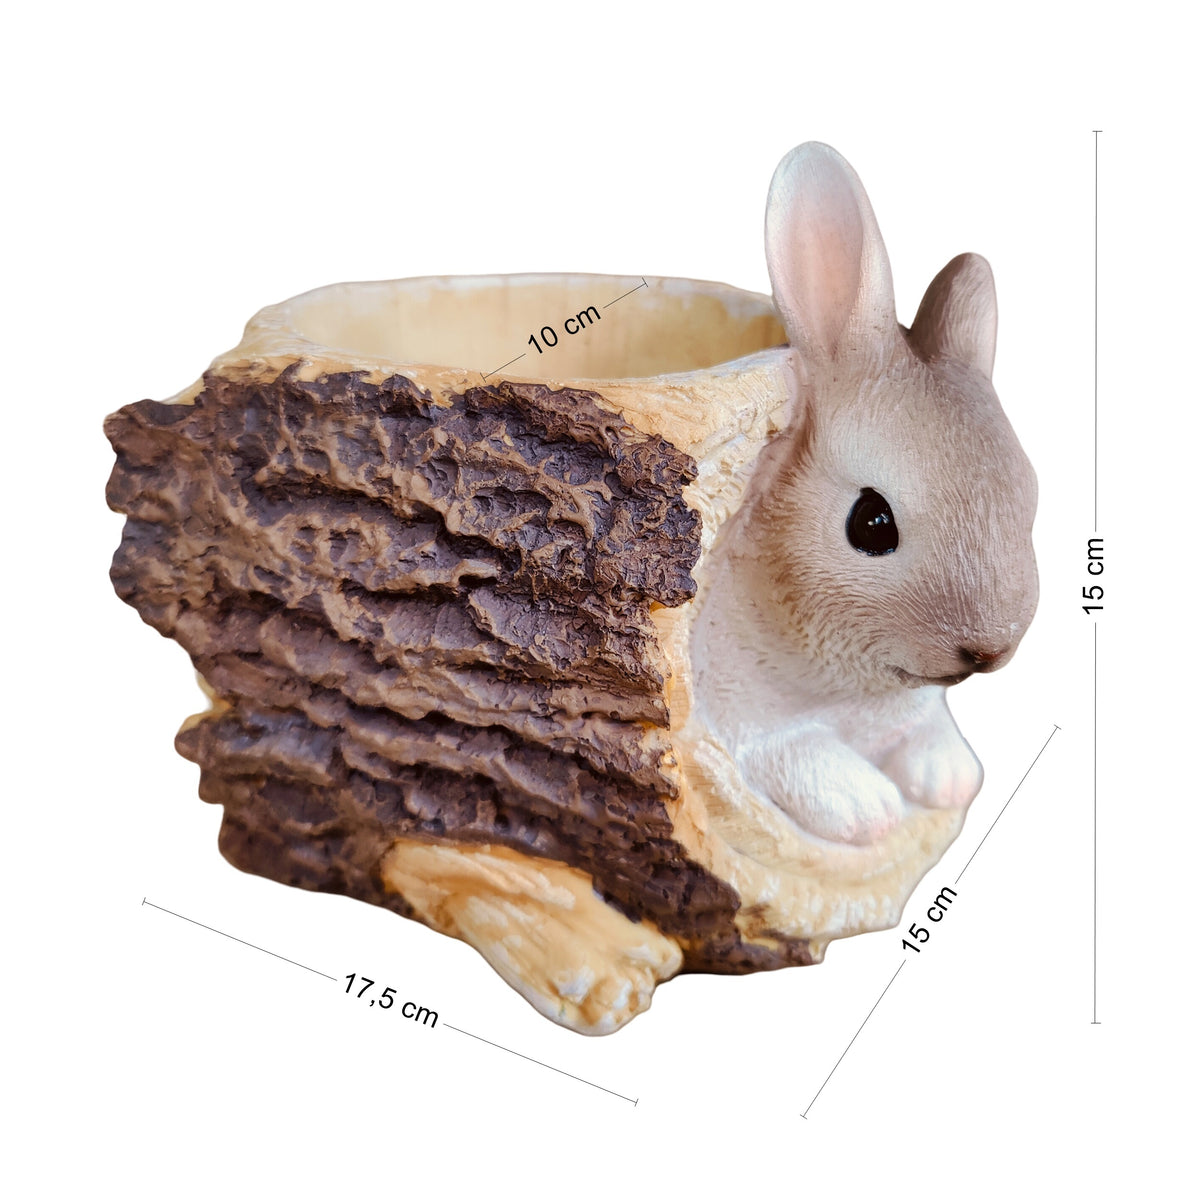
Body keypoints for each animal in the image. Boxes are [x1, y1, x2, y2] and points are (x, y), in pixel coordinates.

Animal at [690, 142, 1039, 847]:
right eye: (871, 524)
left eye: (1031, 493)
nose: (990, 648)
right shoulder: (742, 725)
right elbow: (799, 753)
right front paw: (867, 809)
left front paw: (947, 776)